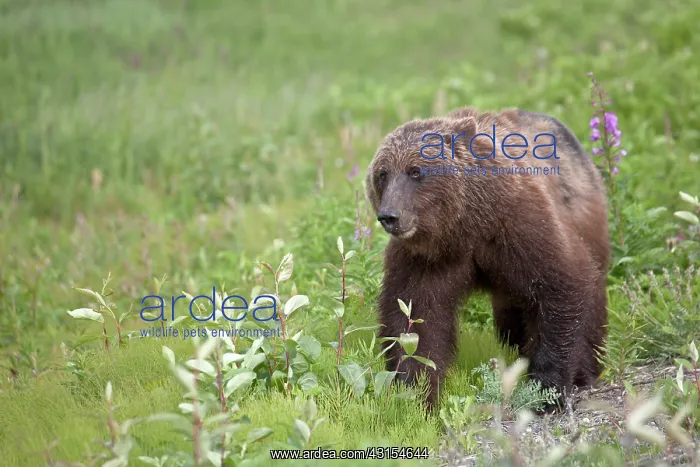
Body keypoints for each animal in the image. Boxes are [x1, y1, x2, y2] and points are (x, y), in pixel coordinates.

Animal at [364, 106, 610, 411]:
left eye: (415, 171)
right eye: (382, 174)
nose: (390, 215)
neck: (464, 225)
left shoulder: (517, 226)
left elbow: (560, 285)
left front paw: (545, 388)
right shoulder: (425, 258)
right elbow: (414, 317)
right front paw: (416, 392)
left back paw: (585, 371)